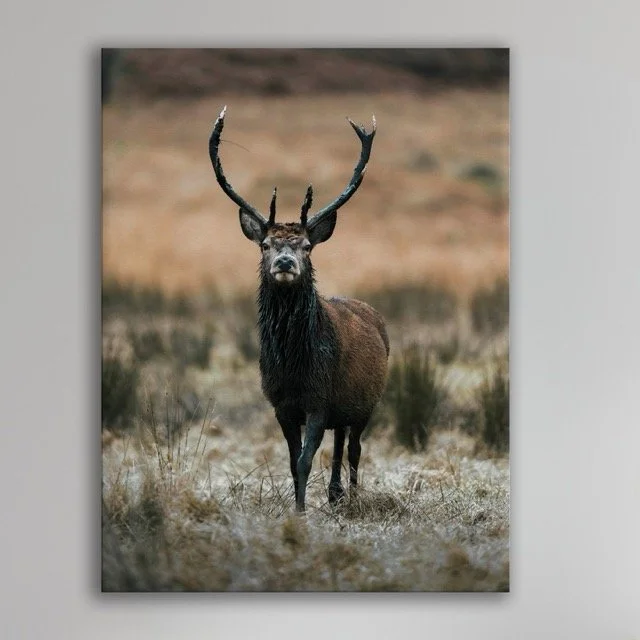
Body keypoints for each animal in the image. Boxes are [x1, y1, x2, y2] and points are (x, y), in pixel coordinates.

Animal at [208, 106, 389, 512]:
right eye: (265, 245)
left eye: (306, 246)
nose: (285, 262)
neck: (293, 364)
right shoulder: (281, 404)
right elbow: (293, 462)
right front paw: (300, 506)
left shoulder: (319, 398)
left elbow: (306, 460)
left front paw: (303, 512)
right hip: (343, 405)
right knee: (340, 443)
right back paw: (335, 494)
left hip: (367, 402)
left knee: (354, 447)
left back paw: (353, 497)